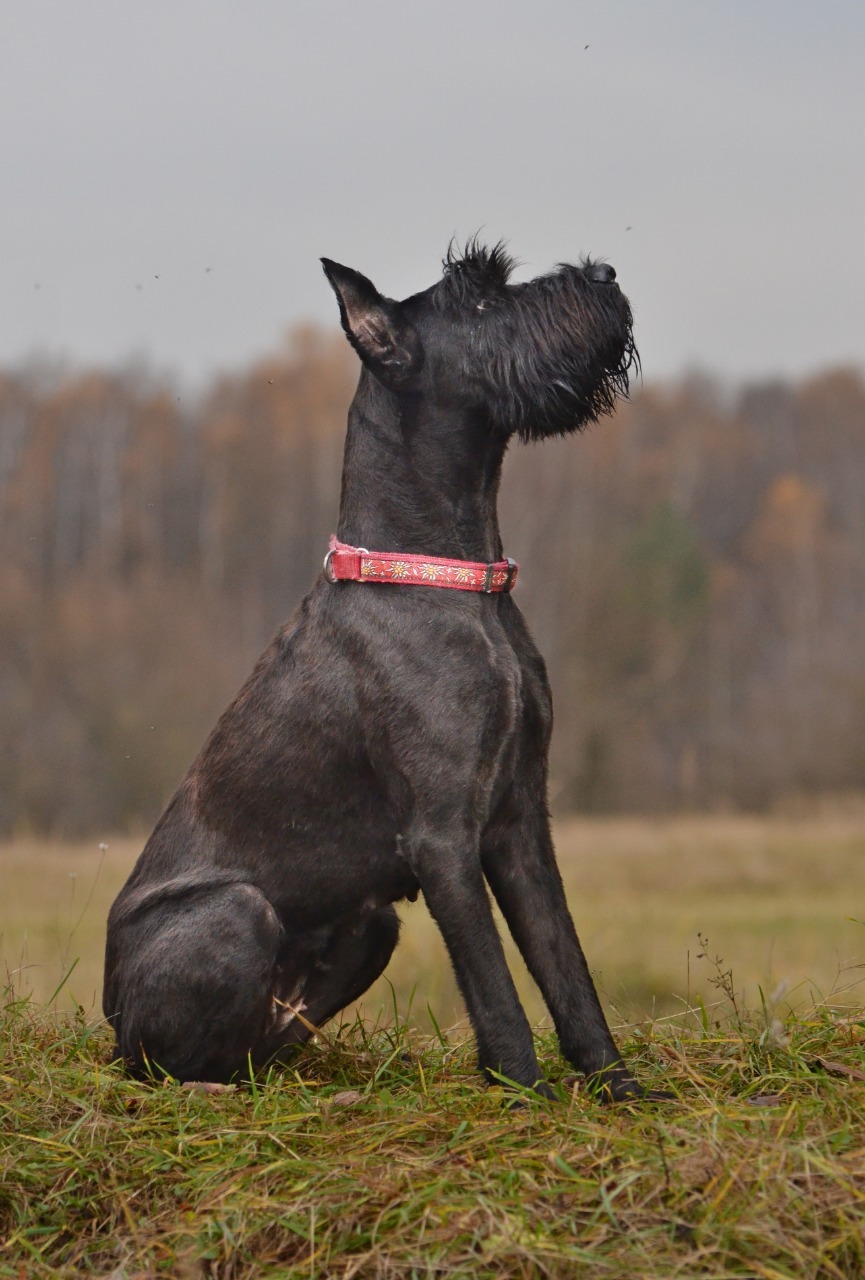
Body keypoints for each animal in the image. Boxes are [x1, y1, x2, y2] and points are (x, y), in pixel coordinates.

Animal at [101, 240, 655, 1100]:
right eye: (477, 301)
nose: (604, 276)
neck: (453, 579)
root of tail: (106, 1010)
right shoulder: (444, 838)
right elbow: (497, 989)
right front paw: (523, 1094)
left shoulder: (520, 822)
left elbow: (566, 968)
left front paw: (619, 1091)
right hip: (236, 914)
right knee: (164, 1065)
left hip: (371, 924)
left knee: (253, 1051)